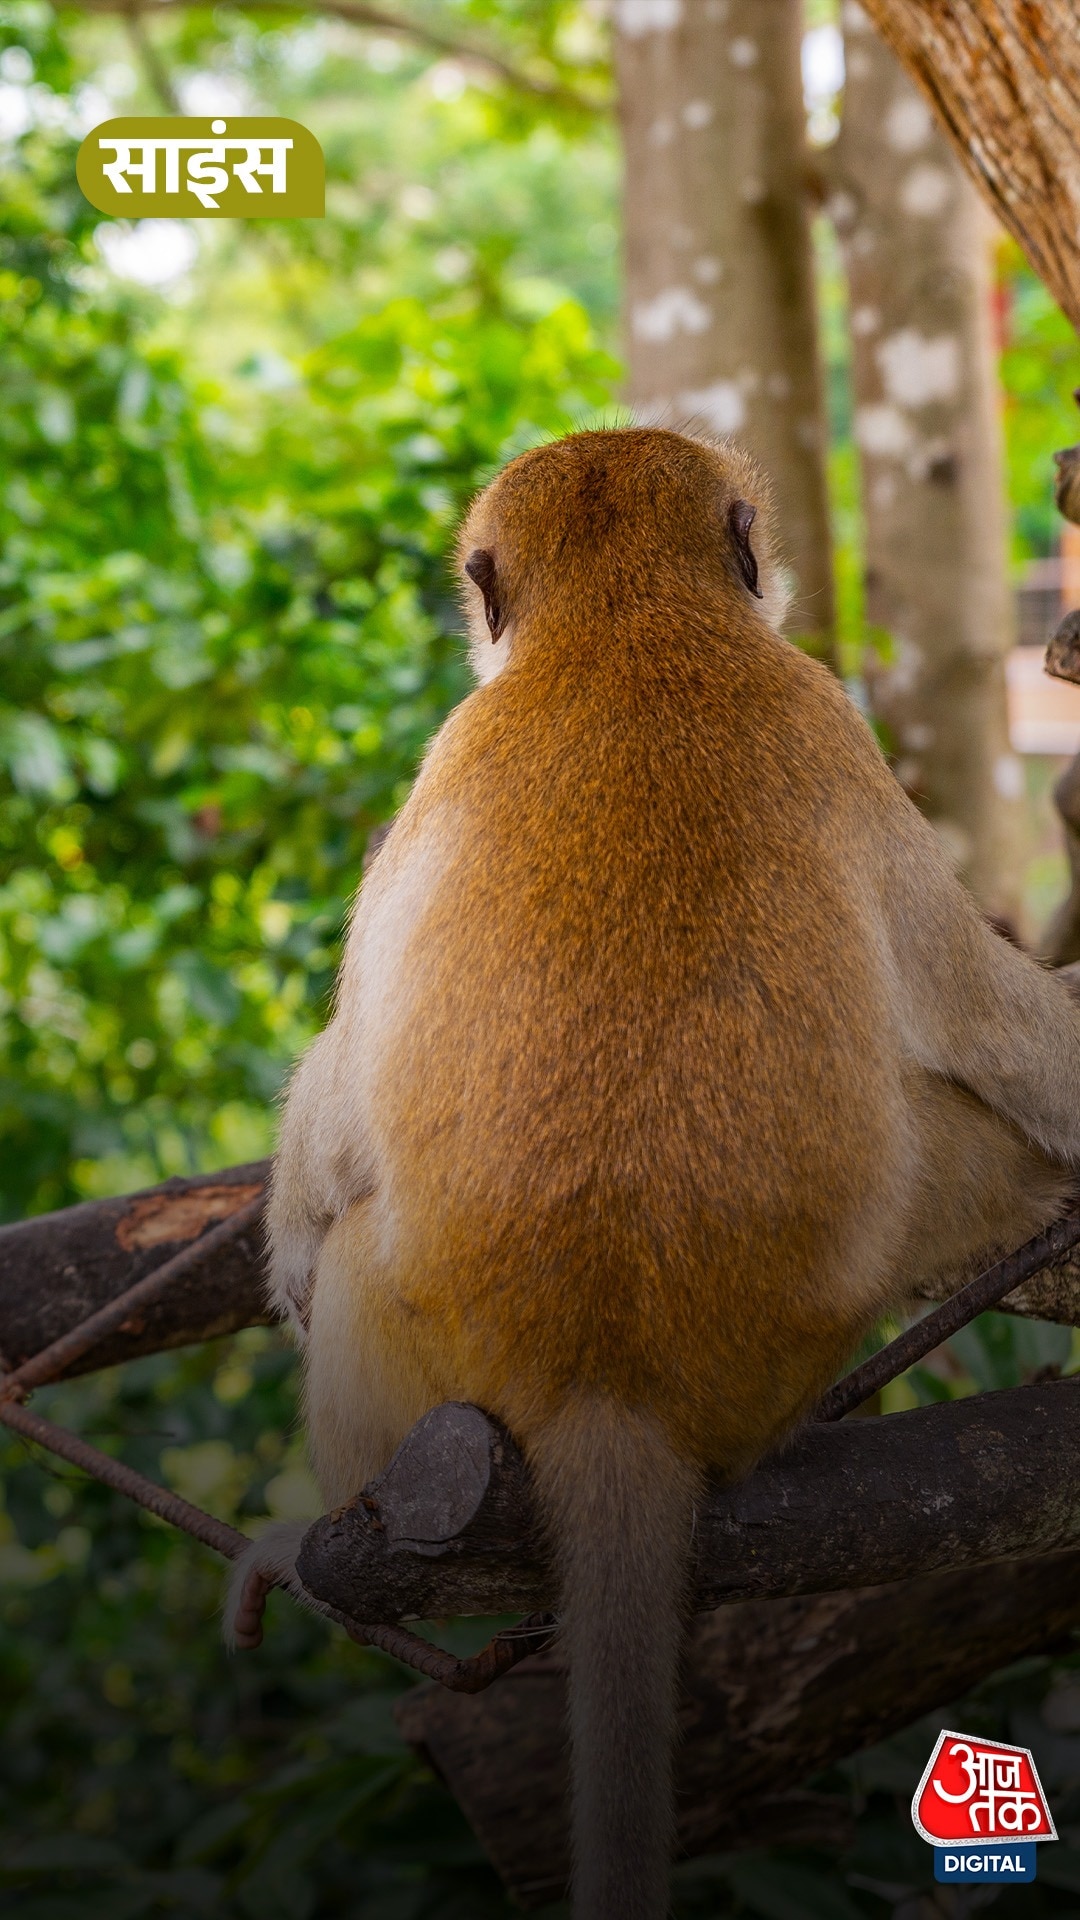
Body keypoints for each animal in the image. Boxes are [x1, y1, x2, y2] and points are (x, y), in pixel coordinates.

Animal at [225, 426, 1080, 1920]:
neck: (625, 627)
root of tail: (612, 1382)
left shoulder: (465, 758)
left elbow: (334, 1125)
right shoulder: (826, 720)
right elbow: (996, 1023)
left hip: (418, 1354)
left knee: (350, 1250)